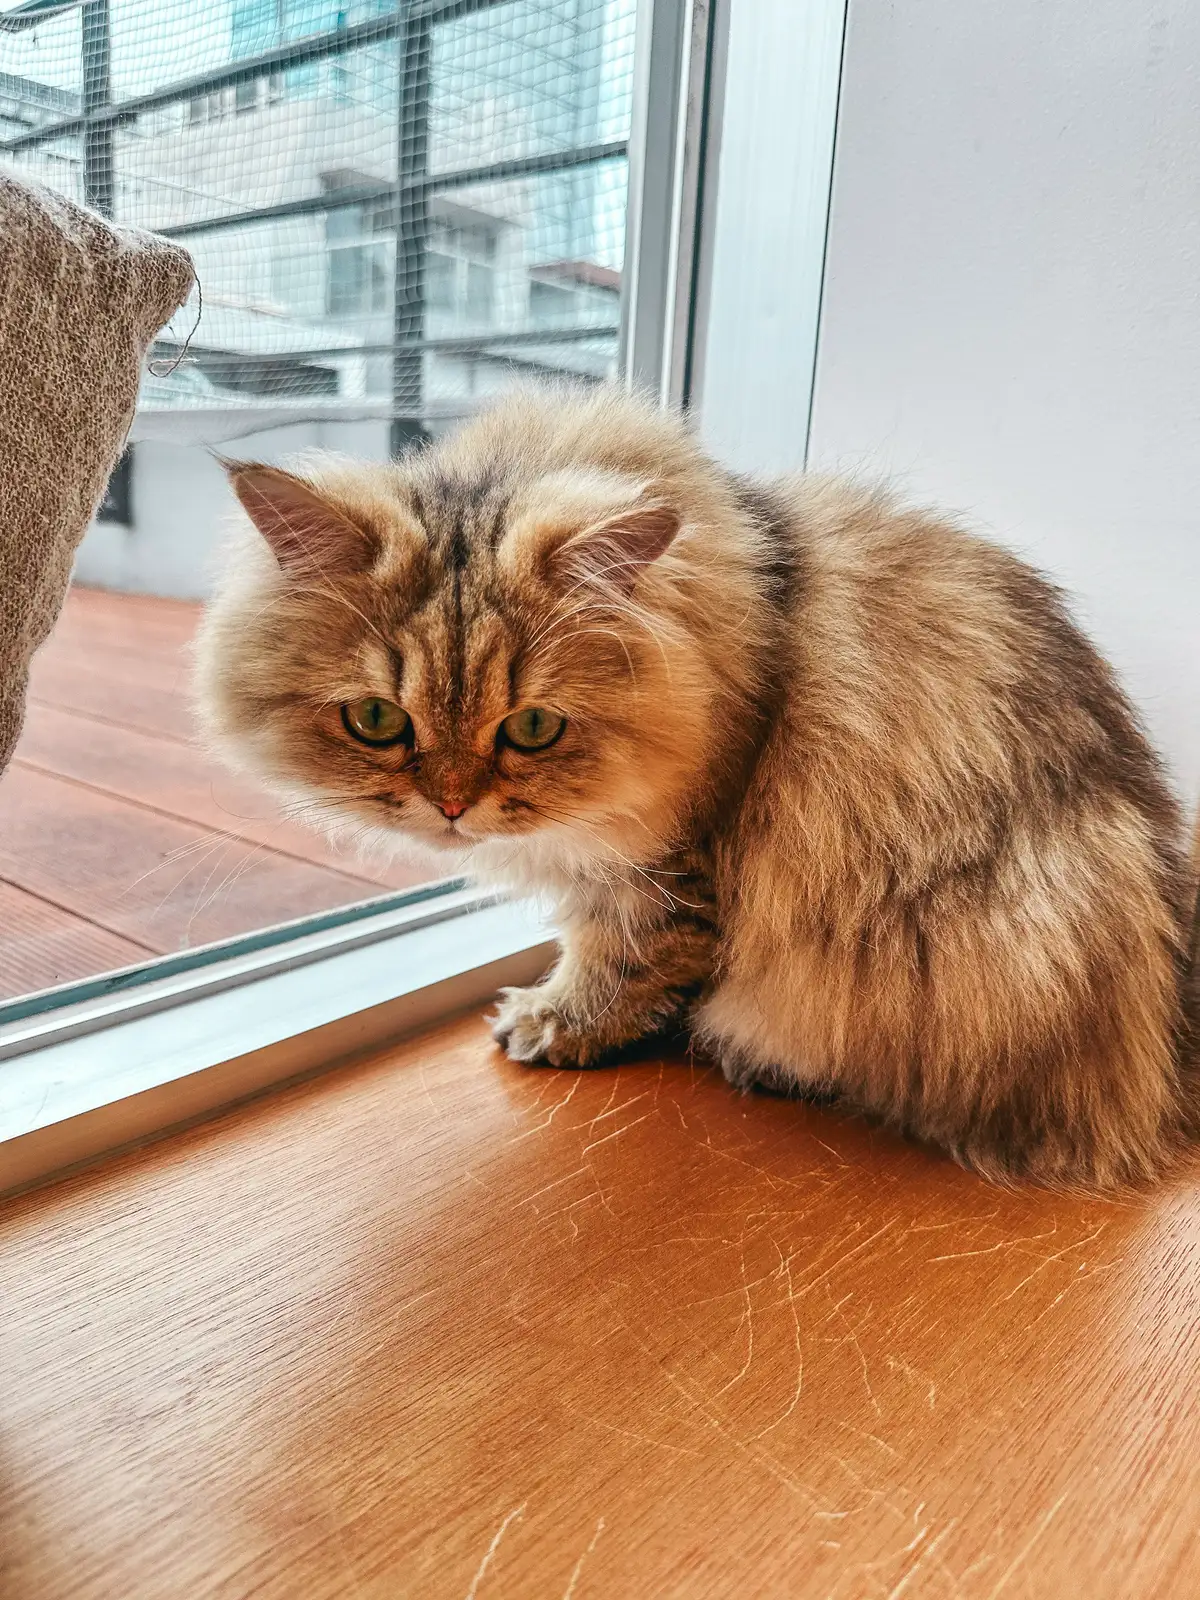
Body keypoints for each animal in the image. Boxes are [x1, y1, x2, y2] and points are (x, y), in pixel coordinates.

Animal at [192, 384, 1196, 1190]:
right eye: (376, 721)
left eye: (532, 729)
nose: (450, 807)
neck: (723, 626)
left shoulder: (672, 866)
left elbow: (621, 959)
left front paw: (553, 1025)